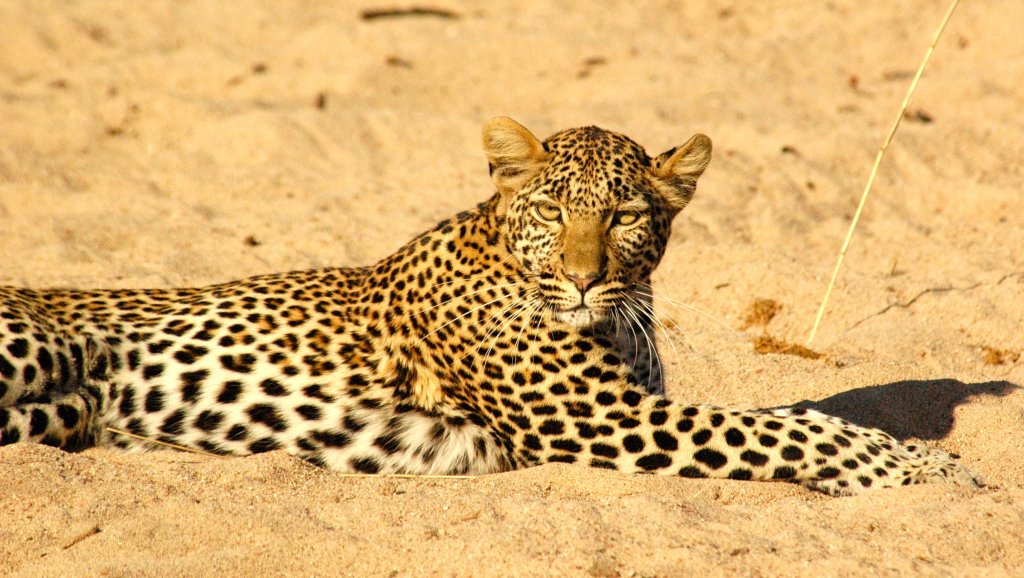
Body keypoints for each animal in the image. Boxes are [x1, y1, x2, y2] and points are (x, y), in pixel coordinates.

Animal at [0, 118, 983, 496]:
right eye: (552, 209)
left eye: (625, 216)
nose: (584, 279)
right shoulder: (608, 423)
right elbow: (789, 425)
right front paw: (931, 472)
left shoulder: (634, 406)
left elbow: (795, 416)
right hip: (37, 357)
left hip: (60, 411)